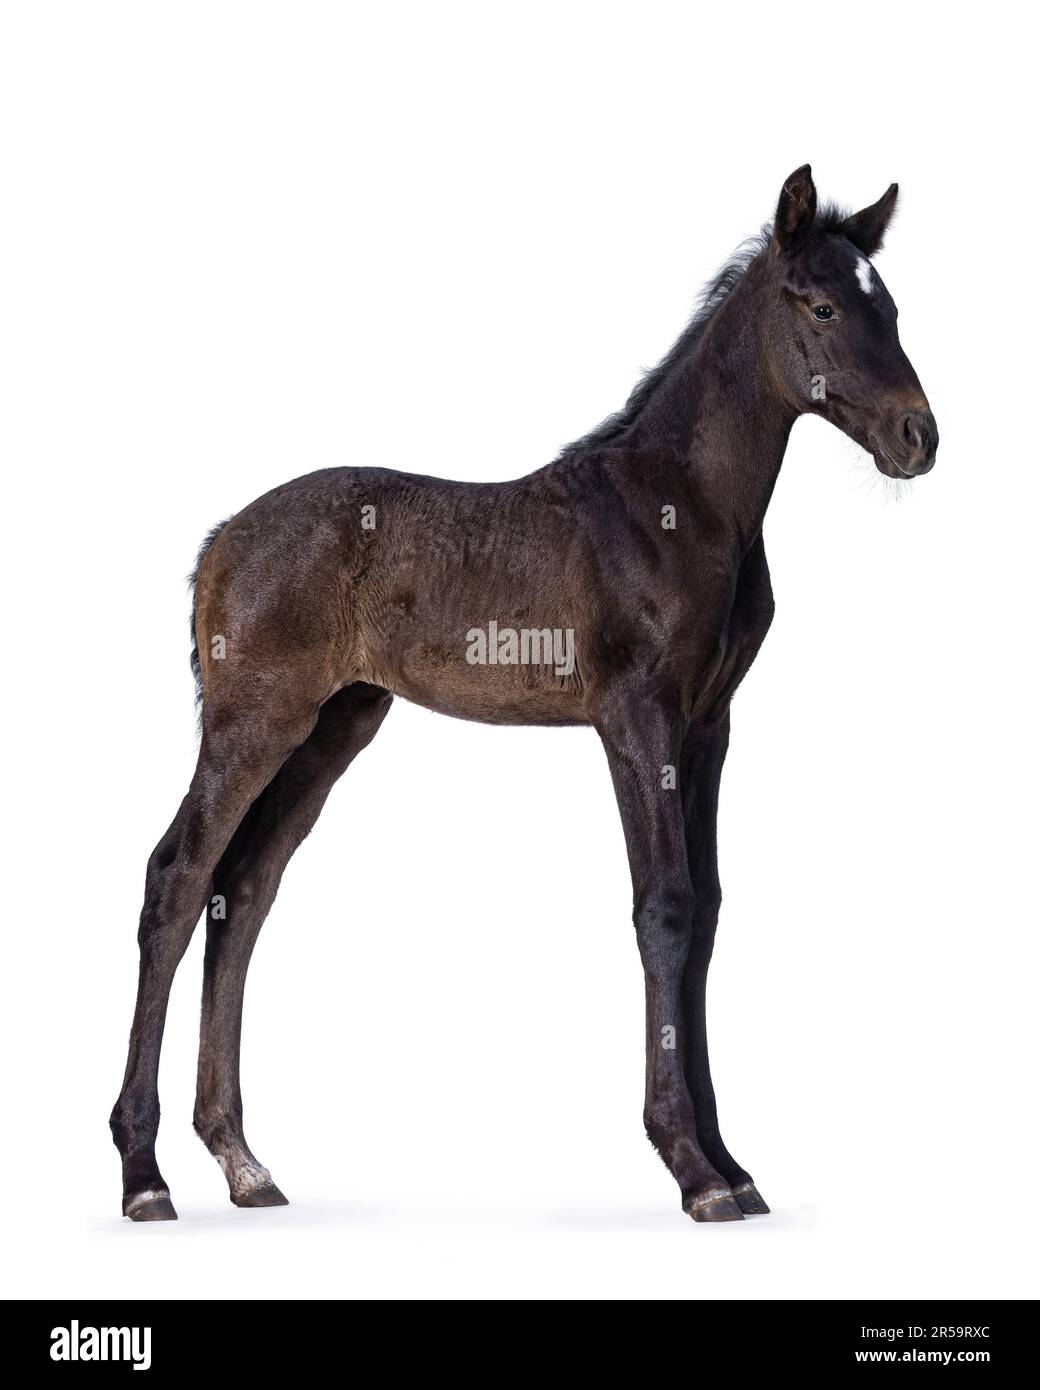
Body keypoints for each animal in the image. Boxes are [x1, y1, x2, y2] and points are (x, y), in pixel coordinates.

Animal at [111, 164, 937, 1223]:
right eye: (825, 307)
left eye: (895, 309)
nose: (919, 436)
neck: (677, 505)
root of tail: (219, 542)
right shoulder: (635, 719)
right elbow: (665, 908)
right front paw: (693, 1168)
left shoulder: (708, 727)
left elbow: (709, 910)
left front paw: (734, 1163)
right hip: (253, 722)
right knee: (176, 880)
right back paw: (144, 1175)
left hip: (333, 728)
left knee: (244, 890)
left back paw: (243, 1162)